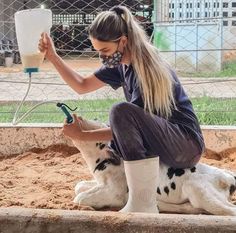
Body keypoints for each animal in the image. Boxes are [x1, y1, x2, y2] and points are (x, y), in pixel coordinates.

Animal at [72, 117, 236, 216]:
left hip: (197, 189)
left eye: (96, 127)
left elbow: (80, 198)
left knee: (230, 211)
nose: (79, 118)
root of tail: (228, 176)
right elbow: (79, 186)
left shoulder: (115, 192)